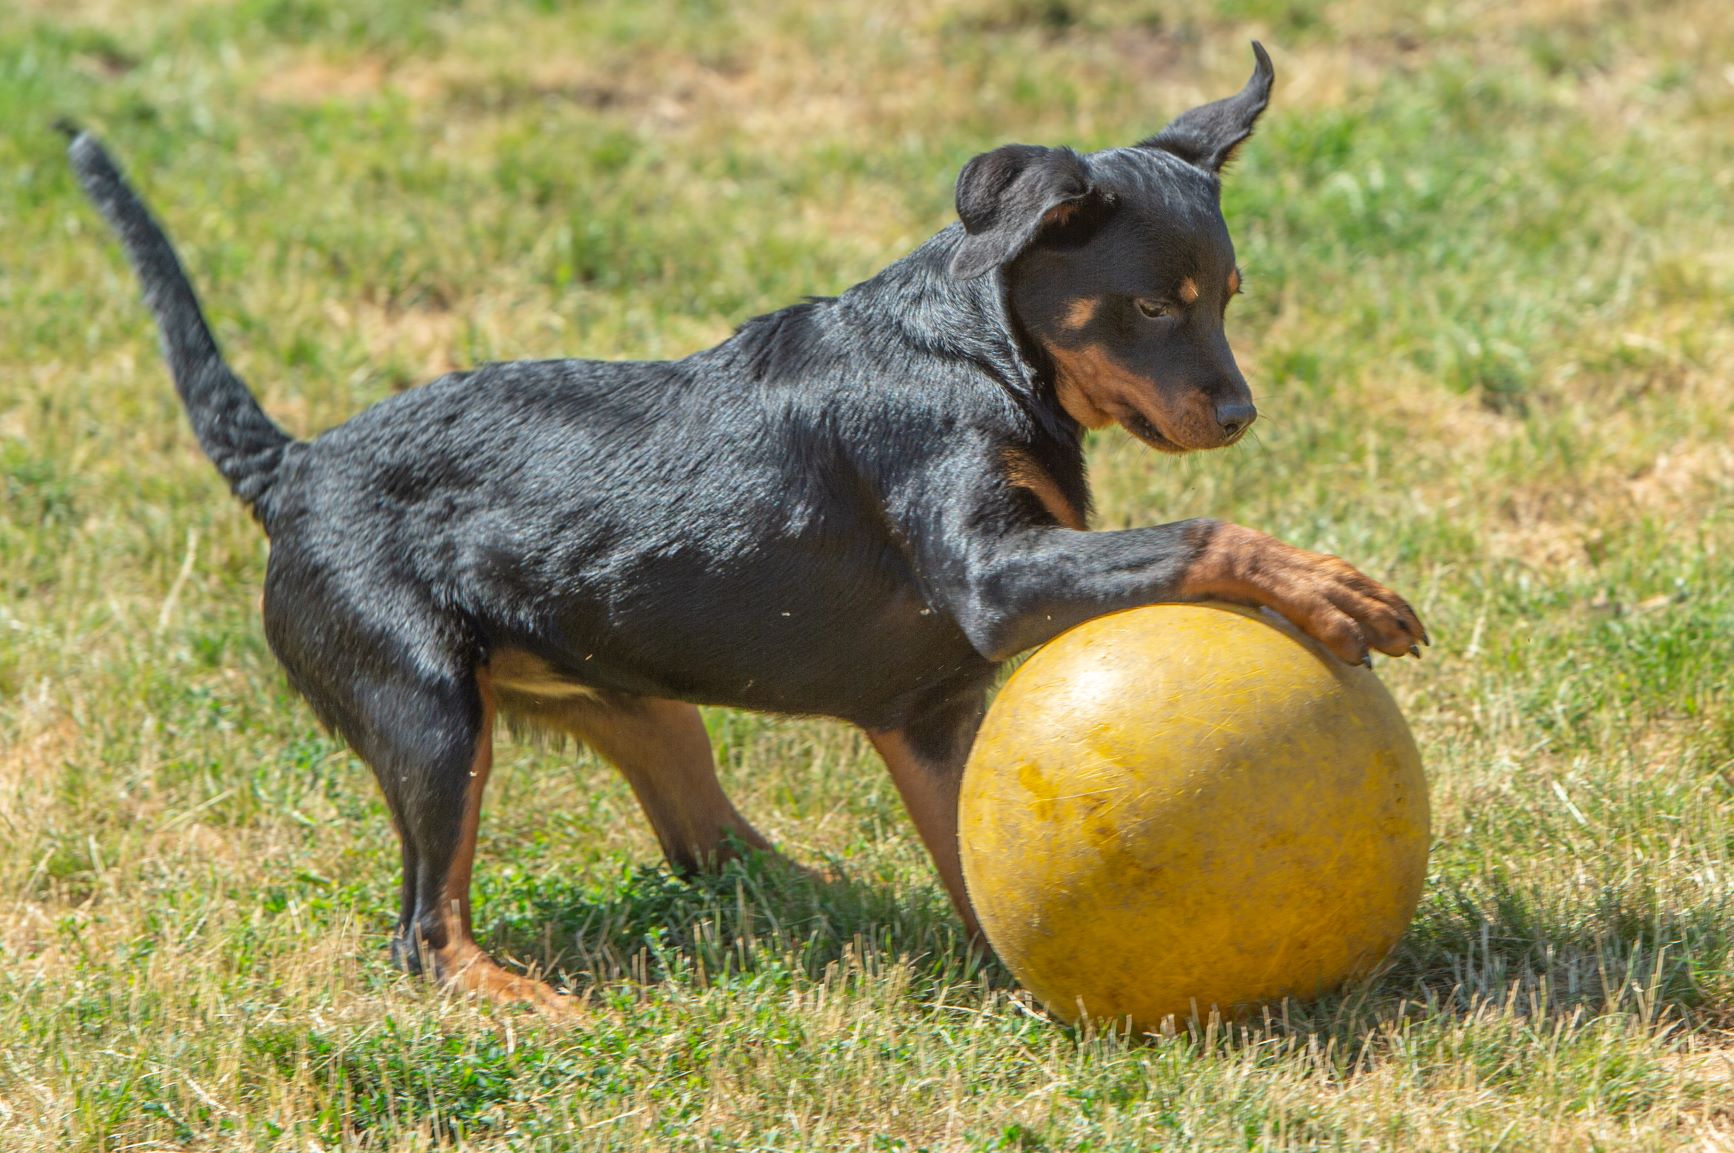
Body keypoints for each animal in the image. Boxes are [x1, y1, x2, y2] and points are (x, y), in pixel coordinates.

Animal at [67, 47, 1421, 1005]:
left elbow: (972, 858)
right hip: (428, 713)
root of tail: (295, 470)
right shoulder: (993, 581)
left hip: (626, 699)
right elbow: (1202, 530)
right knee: (426, 930)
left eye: (1229, 296)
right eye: (1149, 305)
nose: (1239, 412)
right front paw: (1333, 586)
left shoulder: (933, 711)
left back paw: (824, 901)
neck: (976, 347)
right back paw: (525, 999)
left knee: (701, 843)